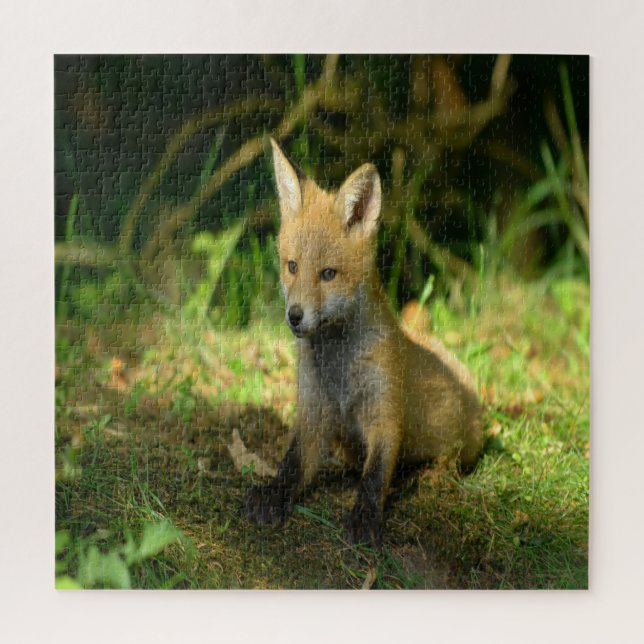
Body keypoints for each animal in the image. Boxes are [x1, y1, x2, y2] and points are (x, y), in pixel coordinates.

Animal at [245, 137, 483, 546]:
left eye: (328, 274)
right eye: (291, 266)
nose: (294, 315)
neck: (339, 367)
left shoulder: (384, 411)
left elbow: (375, 475)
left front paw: (365, 518)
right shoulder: (313, 412)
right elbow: (292, 465)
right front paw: (273, 495)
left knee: (445, 461)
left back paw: (428, 473)